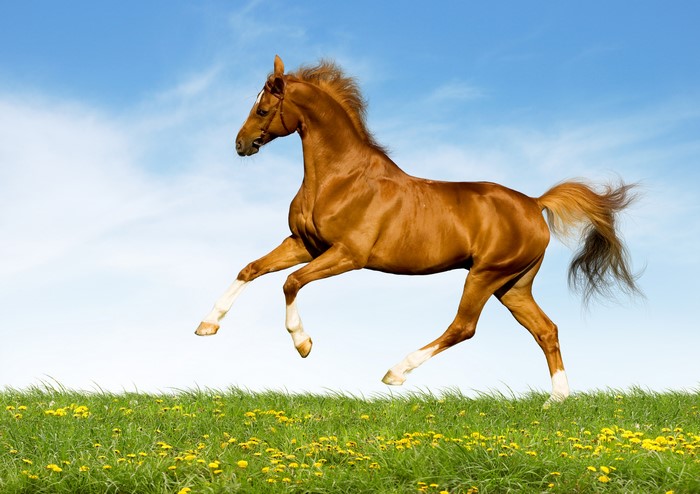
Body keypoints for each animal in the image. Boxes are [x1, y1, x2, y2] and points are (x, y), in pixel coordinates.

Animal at [195, 55, 640, 406]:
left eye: (263, 110)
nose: (241, 144)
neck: (340, 178)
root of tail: (534, 203)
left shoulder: (347, 255)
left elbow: (290, 283)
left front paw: (303, 344)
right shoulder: (304, 244)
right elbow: (251, 269)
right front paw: (207, 326)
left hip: (486, 275)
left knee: (463, 327)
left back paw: (396, 372)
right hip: (513, 285)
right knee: (546, 330)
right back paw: (556, 400)